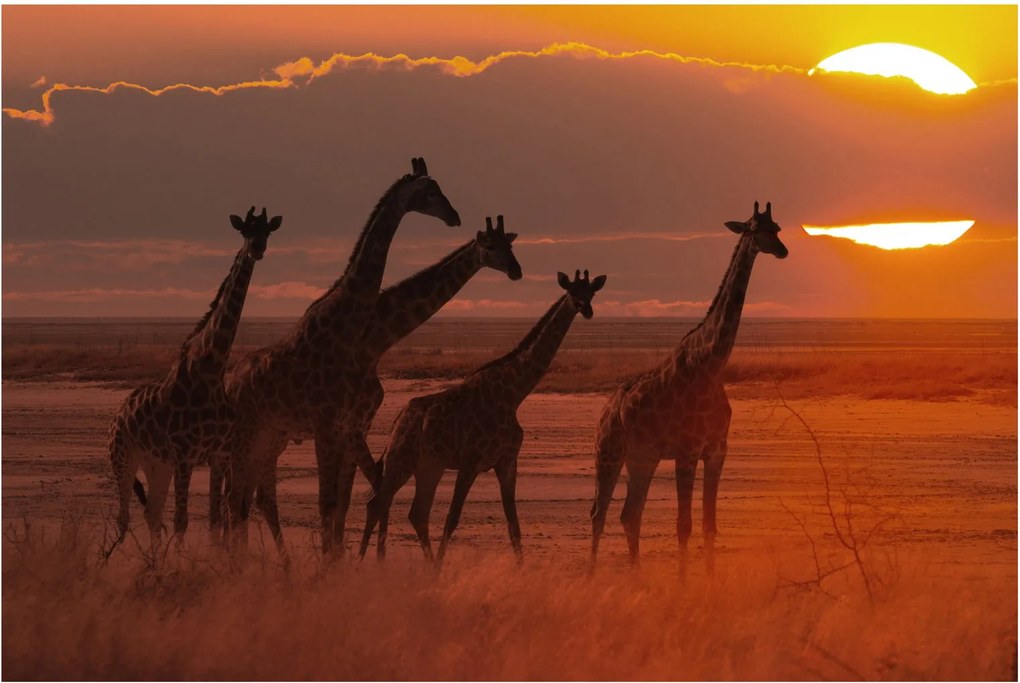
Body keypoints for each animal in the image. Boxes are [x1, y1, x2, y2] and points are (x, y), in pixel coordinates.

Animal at [107, 206, 282, 554]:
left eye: (267, 231)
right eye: (245, 230)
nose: (257, 249)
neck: (212, 368)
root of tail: (118, 413)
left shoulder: (218, 455)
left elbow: (213, 520)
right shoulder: (184, 455)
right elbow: (182, 521)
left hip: (156, 465)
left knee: (151, 513)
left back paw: (154, 562)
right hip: (122, 458)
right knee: (124, 518)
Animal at [221, 158, 461, 553]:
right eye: (429, 191)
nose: (454, 216)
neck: (347, 329)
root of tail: (229, 383)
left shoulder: (344, 426)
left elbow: (340, 504)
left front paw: (337, 562)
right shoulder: (327, 425)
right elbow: (328, 503)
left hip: (266, 436)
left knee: (243, 498)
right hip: (246, 435)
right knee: (235, 498)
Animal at [359, 269, 607, 563]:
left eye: (591, 292)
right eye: (571, 291)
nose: (586, 309)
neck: (513, 395)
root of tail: (398, 420)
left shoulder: (507, 461)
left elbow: (513, 525)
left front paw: (521, 568)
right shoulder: (470, 461)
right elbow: (452, 518)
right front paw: (442, 566)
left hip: (430, 466)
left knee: (416, 512)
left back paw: (422, 565)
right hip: (402, 460)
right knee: (377, 504)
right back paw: (361, 562)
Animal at [589, 201, 788, 573]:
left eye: (778, 228)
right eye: (755, 229)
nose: (782, 250)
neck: (711, 365)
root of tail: (606, 410)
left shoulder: (717, 450)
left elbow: (709, 524)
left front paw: (709, 581)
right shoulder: (687, 450)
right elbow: (684, 525)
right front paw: (684, 583)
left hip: (642, 458)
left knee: (629, 514)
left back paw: (637, 577)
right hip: (607, 452)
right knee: (598, 513)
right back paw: (592, 576)